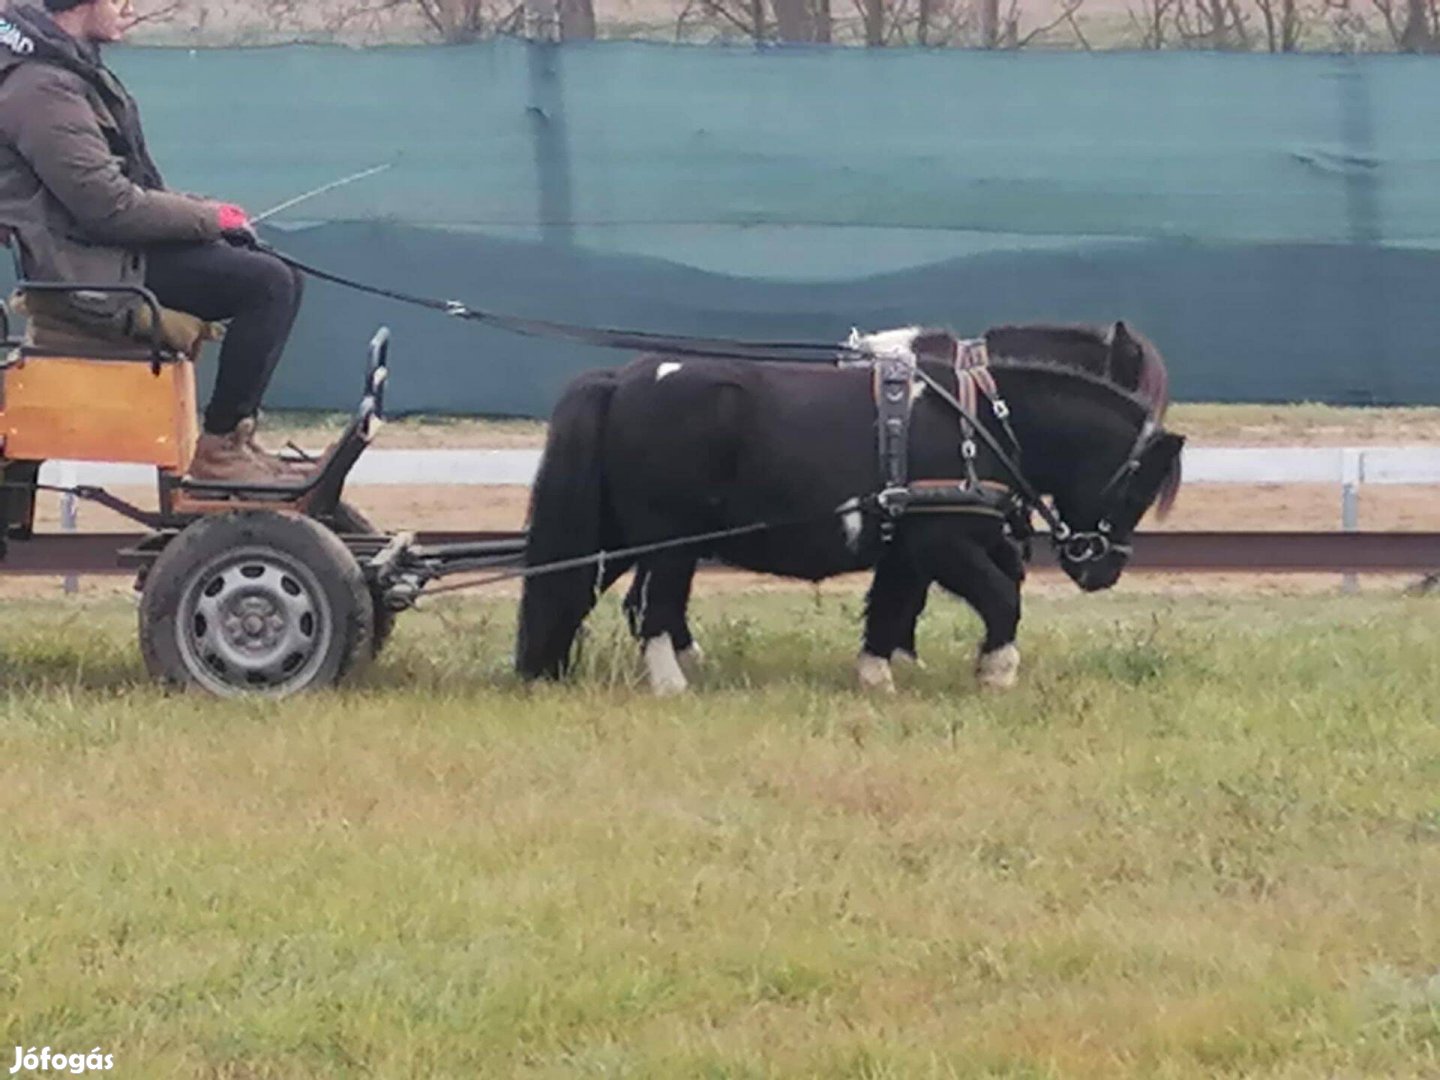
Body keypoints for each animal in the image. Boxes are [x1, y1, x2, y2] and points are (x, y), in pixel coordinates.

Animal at [518, 324, 1180, 694]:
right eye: (1136, 488)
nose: (1103, 570)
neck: (977, 418)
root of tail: (622, 380)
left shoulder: (911, 545)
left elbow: (894, 604)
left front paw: (879, 672)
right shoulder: (940, 542)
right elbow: (1001, 597)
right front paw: (996, 671)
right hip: (667, 541)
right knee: (652, 608)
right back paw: (671, 684)